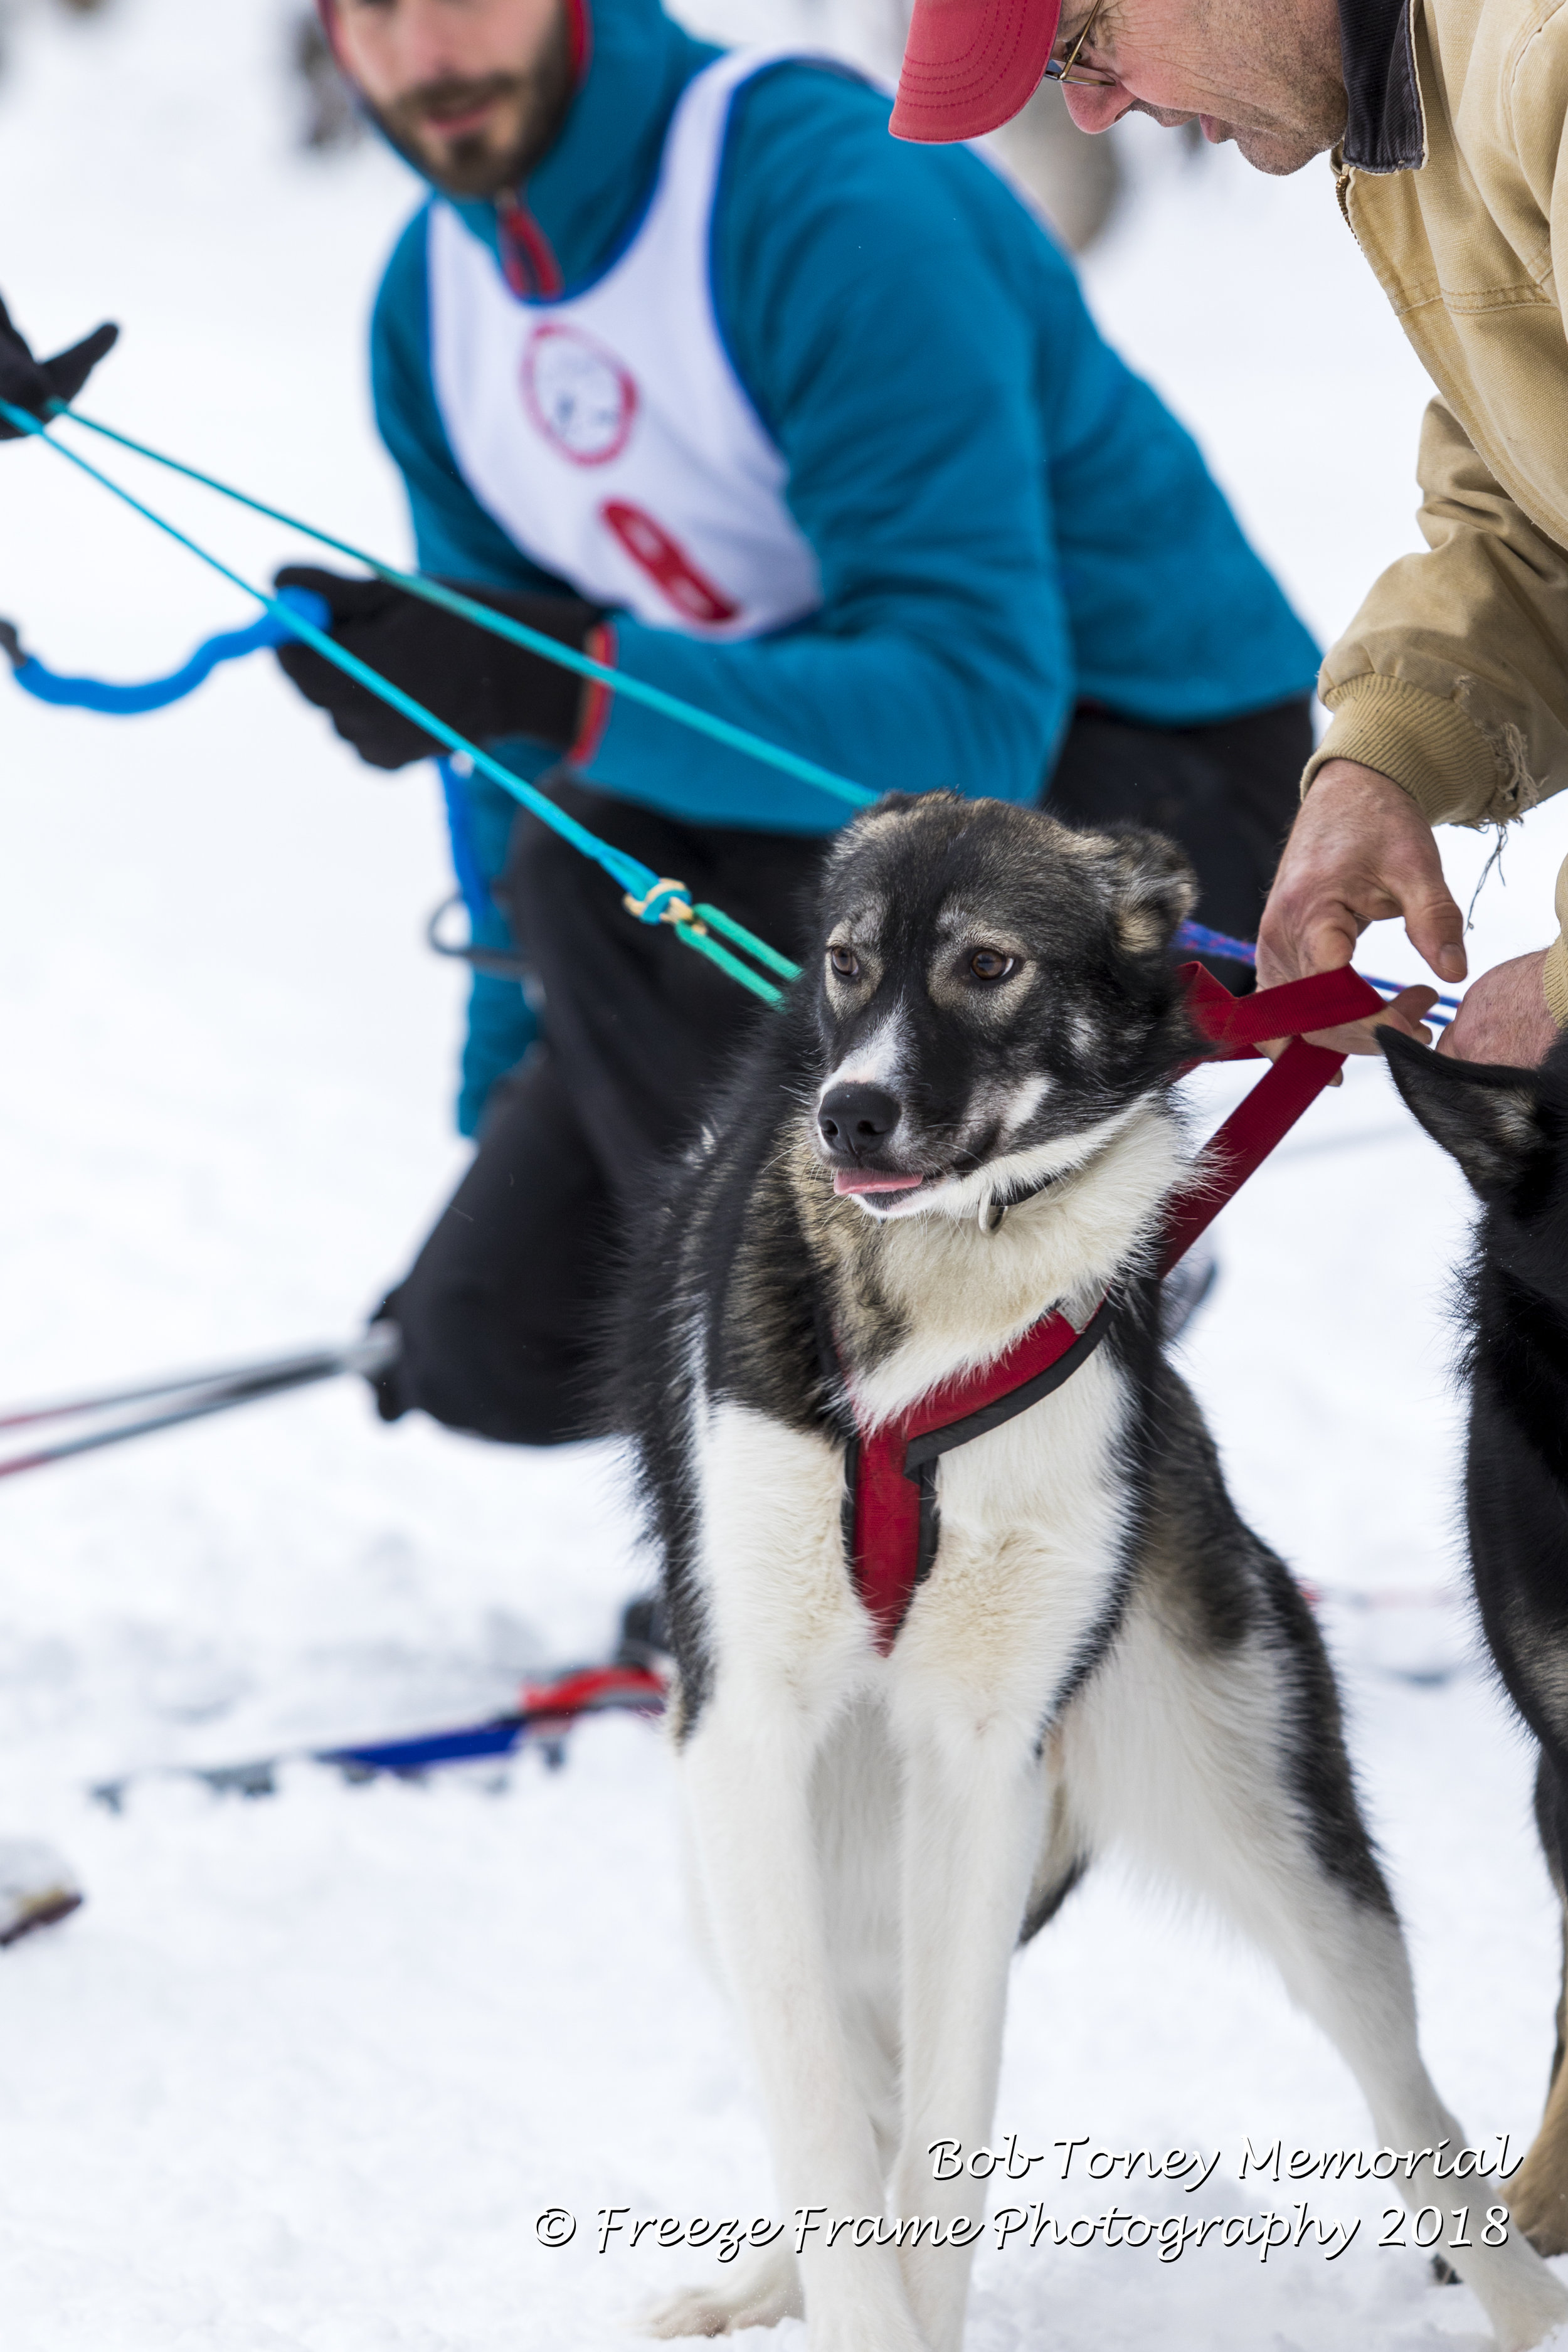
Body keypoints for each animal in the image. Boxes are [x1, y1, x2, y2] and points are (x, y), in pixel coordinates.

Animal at [620, 800, 1560, 2343]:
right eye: (846, 960)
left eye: (990, 964)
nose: (849, 1113)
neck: (942, 1289)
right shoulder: (744, 1732)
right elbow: (823, 2111)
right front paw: (847, 2302)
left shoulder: (979, 1758)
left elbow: (943, 2137)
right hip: (735, 1857)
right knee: (844, 2071)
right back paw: (758, 2280)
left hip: (1272, 1826)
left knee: (1409, 2104)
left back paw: (1521, 2298)